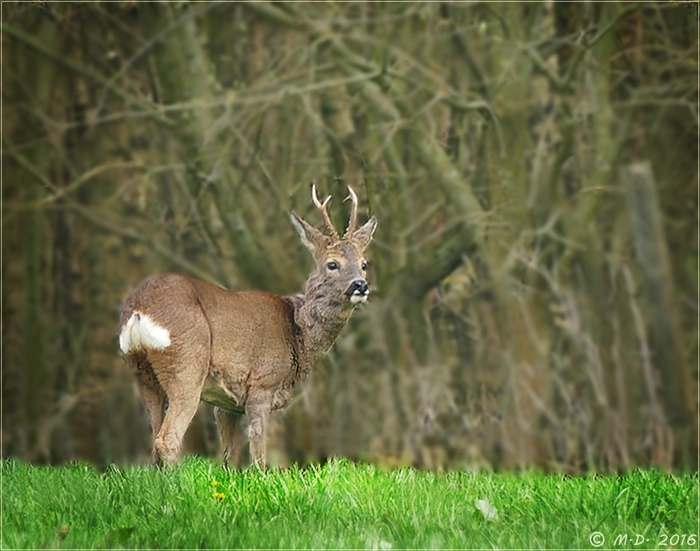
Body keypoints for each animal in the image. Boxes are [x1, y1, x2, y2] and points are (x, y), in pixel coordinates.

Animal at [119, 184, 378, 466]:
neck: (297, 334)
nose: (360, 285)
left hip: (140, 370)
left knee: (155, 440)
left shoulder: (227, 405)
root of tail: (138, 308)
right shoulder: (262, 385)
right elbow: (258, 456)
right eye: (332, 264)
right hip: (187, 361)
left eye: (364, 264)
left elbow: (229, 458)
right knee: (167, 440)